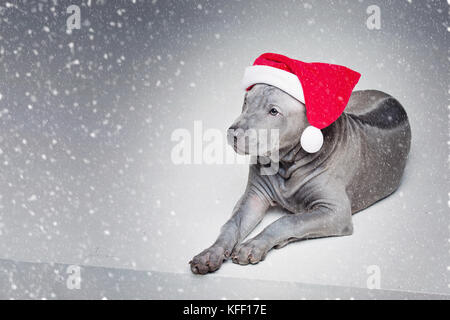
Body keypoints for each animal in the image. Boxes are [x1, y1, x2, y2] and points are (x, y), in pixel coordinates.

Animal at [190, 84, 412, 274]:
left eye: (274, 111)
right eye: (246, 101)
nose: (233, 133)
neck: (286, 161)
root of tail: (386, 95)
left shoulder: (335, 212)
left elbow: (287, 220)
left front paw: (255, 244)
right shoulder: (254, 197)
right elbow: (232, 224)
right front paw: (210, 253)